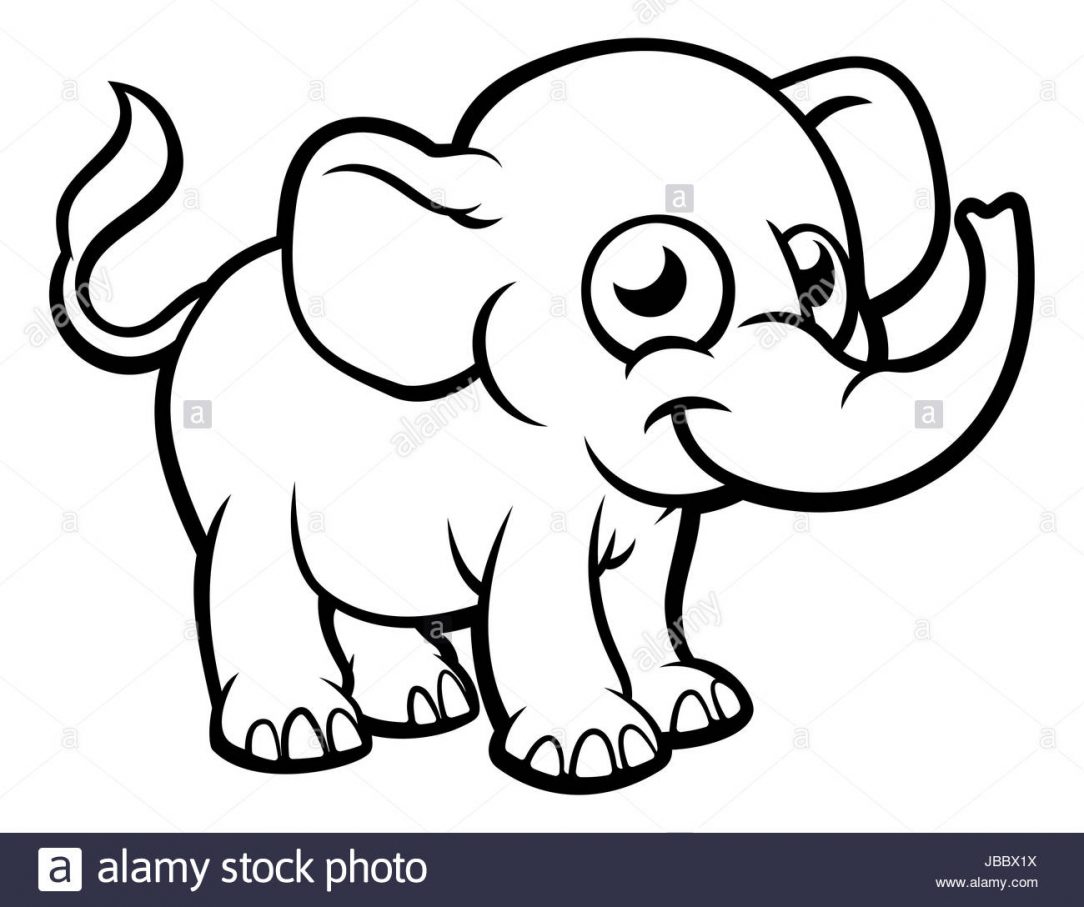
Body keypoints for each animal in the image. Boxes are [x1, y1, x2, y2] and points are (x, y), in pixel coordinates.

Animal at [52, 38, 1033, 794]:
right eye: (653, 288)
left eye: (820, 276)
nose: (991, 207)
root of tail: (206, 291)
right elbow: (546, 591)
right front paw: (596, 753)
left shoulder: (650, 516)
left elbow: (644, 579)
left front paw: (695, 707)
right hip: (236, 466)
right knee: (250, 561)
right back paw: (300, 733)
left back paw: (420, 705)